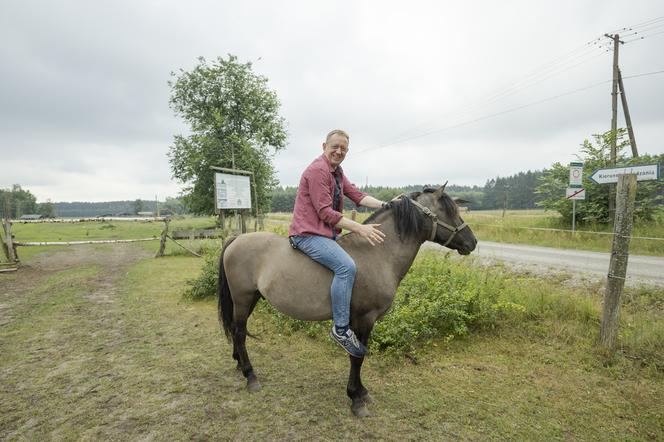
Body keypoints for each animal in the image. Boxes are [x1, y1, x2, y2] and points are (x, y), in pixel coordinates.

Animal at [218, 184, 478, 418]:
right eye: (449, 212)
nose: (472, 242)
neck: (377, 253)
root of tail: (237, 239)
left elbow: (358, 357)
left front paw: (361, 392)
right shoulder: (364, 319)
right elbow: (358, 357)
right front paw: (356, 398)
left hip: (252, 298)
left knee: (236, 331)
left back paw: (239, 364)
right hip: (242, 299)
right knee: (239, 333)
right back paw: (250, 376)